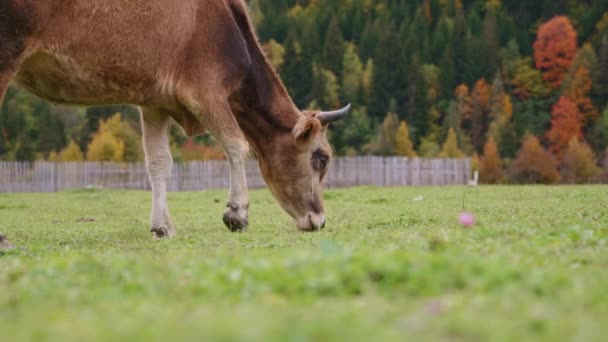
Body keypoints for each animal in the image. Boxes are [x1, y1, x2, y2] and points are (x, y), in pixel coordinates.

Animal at [0, 0, 350, 238]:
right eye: (322, 157)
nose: (319, 220)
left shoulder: (153, 100)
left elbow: (158, 162)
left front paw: (162, 226)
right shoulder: (205, 90)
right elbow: (237, 144)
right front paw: (237, 213)